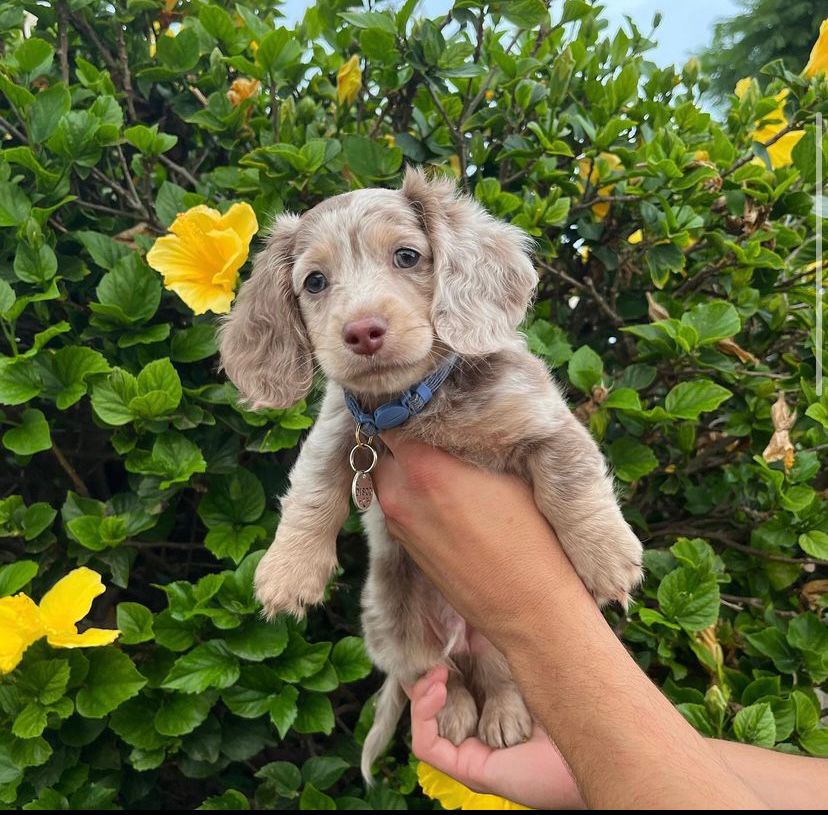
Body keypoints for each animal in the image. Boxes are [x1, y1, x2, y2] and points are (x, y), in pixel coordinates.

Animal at [217, 169, 644, 780]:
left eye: (407, 256)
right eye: (315, 281)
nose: (363, 331)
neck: (417, 402)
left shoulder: (544, 419)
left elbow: (572, 478)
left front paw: (606, 556)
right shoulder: (339, 430)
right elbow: (312, 492)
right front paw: (288, 573)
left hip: (500, 645)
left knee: (498, 677)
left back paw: (503, 715)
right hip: (393, 628)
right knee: (439, 676)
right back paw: (455, 711)